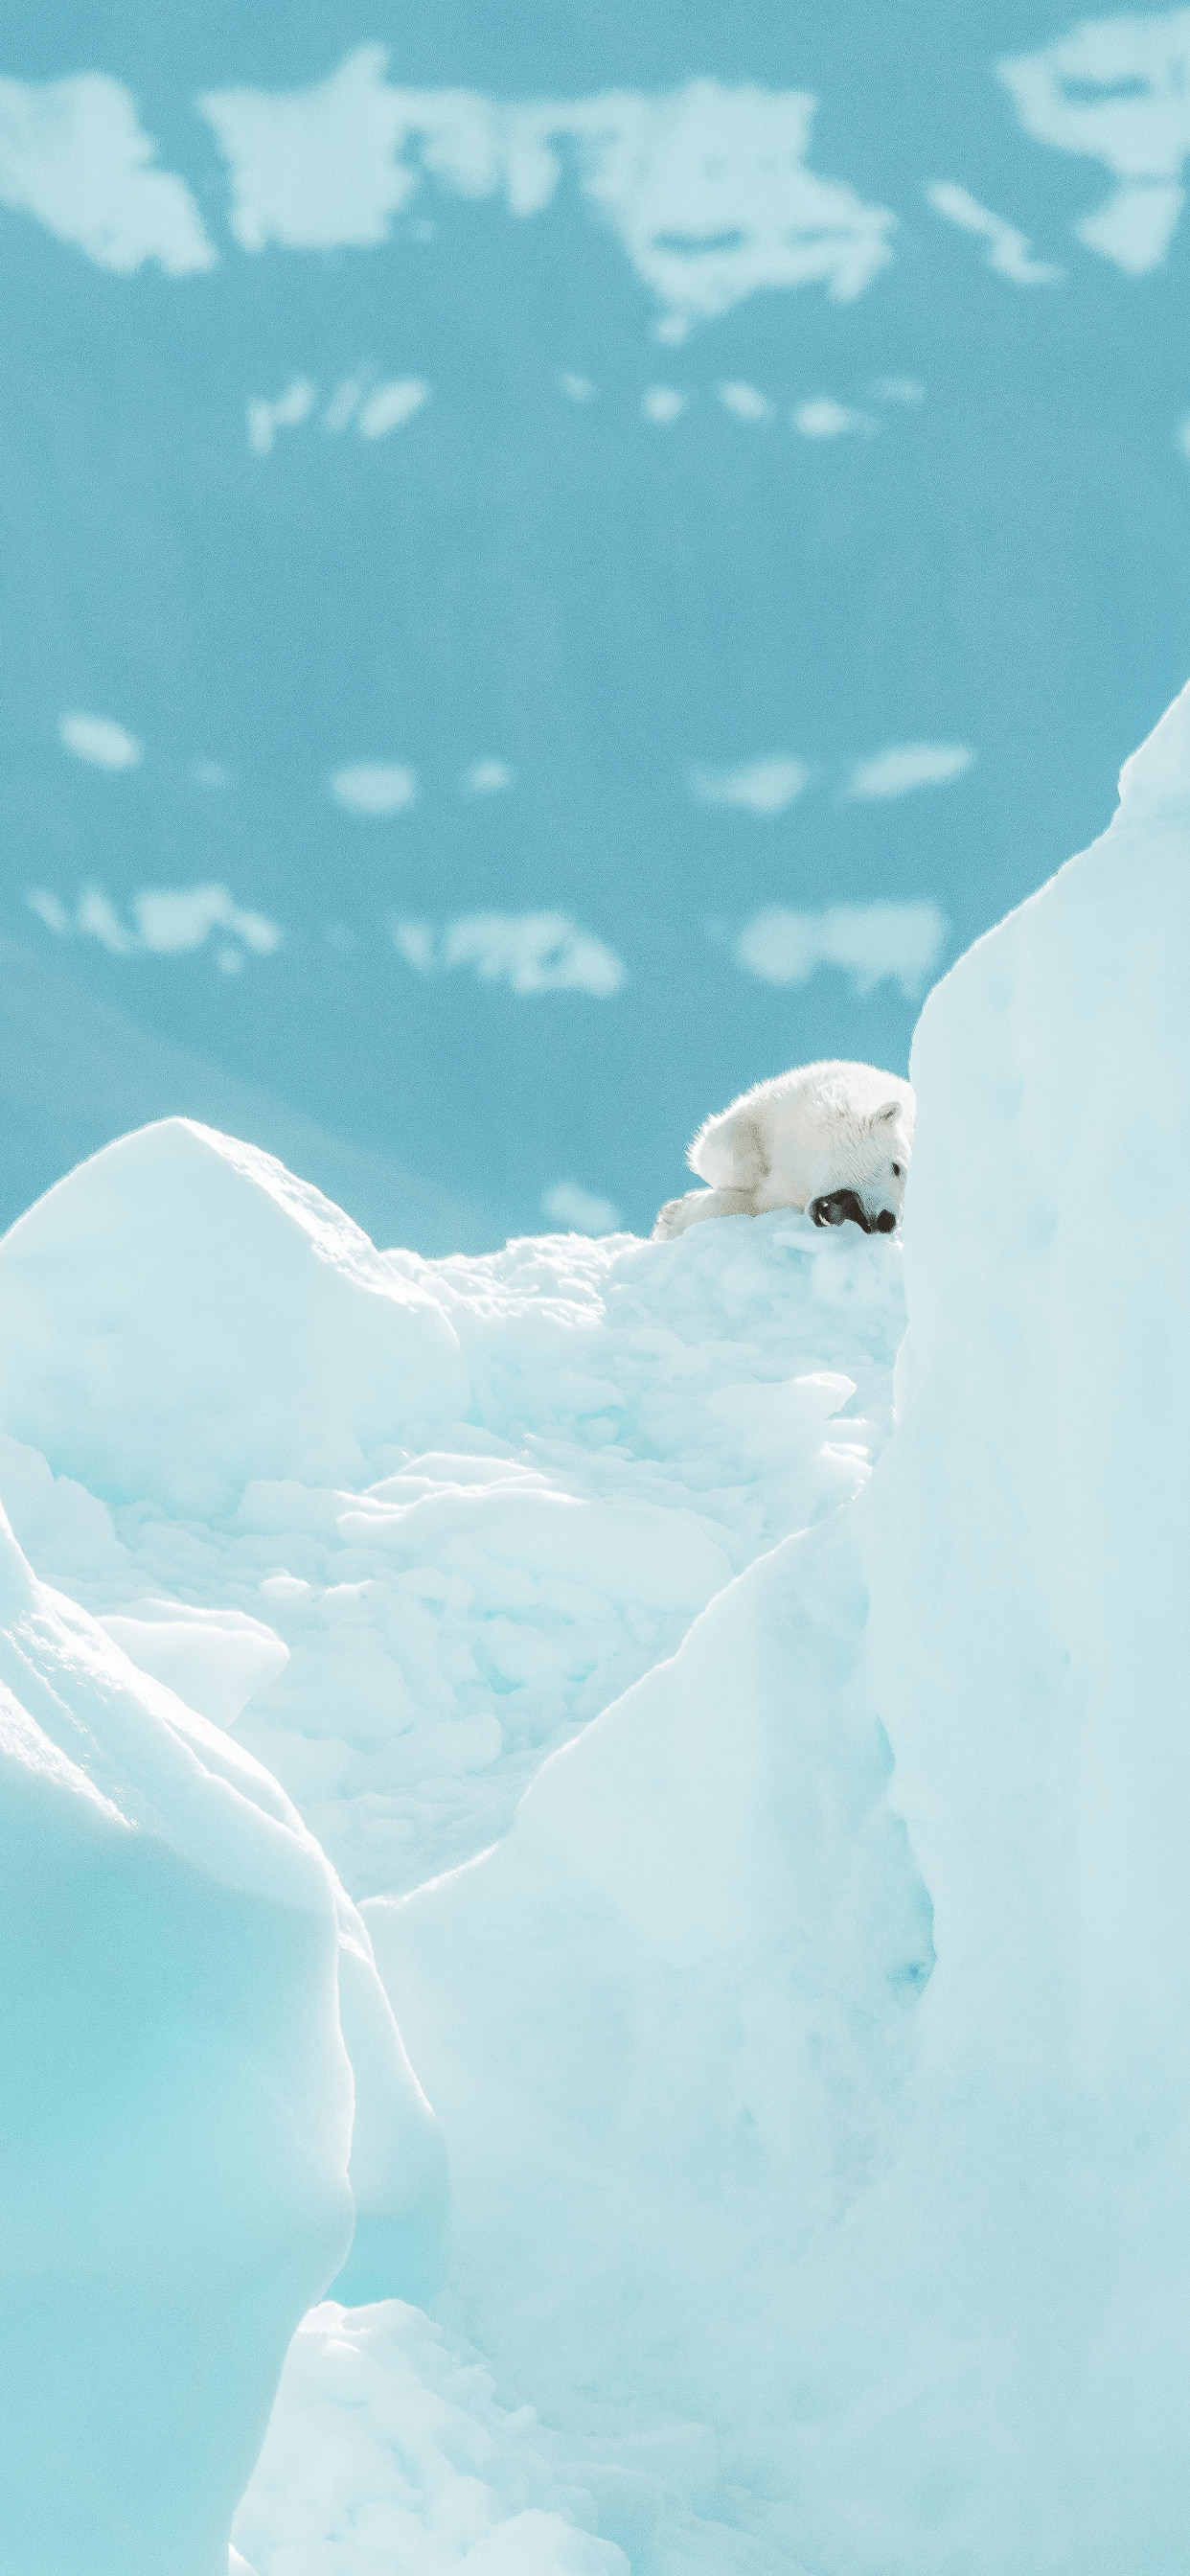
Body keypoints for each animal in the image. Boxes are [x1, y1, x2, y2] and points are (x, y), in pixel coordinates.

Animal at [652, 1058, 916, 1241]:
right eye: (896, 1167)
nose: (888, 1222)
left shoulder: (787, 1198)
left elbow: (751, 1205)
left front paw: (670, 1219)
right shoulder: (783, 1106)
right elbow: (730, 1147)